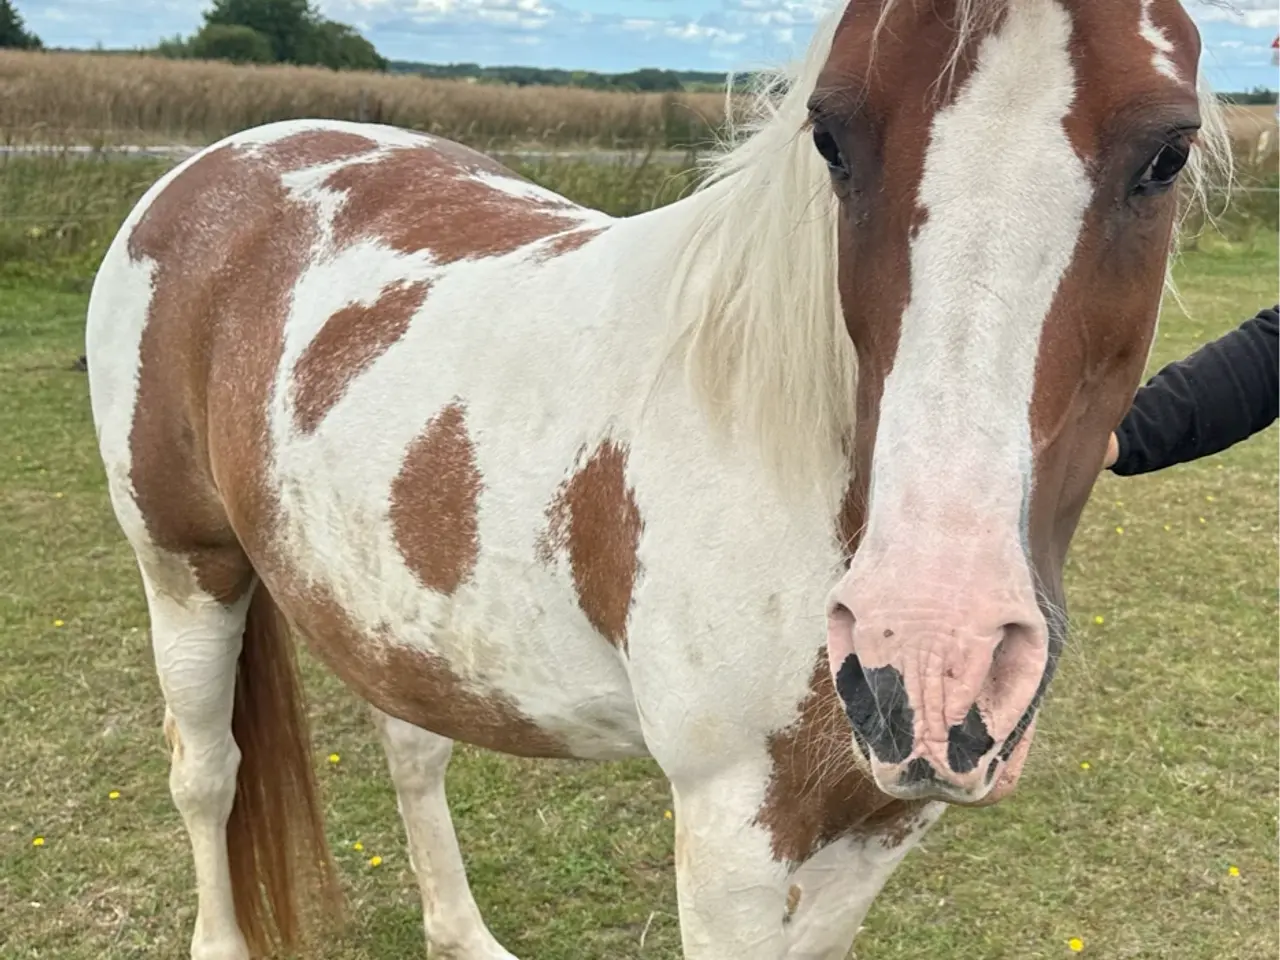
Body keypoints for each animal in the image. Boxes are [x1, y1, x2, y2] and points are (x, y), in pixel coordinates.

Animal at [85, 1, 1228, 957]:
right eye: (829, 134)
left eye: (1167, 152)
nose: (930, 650)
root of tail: (211, 167)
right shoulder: (732, 841)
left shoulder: (873, 823)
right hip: (185, 571)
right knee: (207, 775)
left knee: (412, 752)